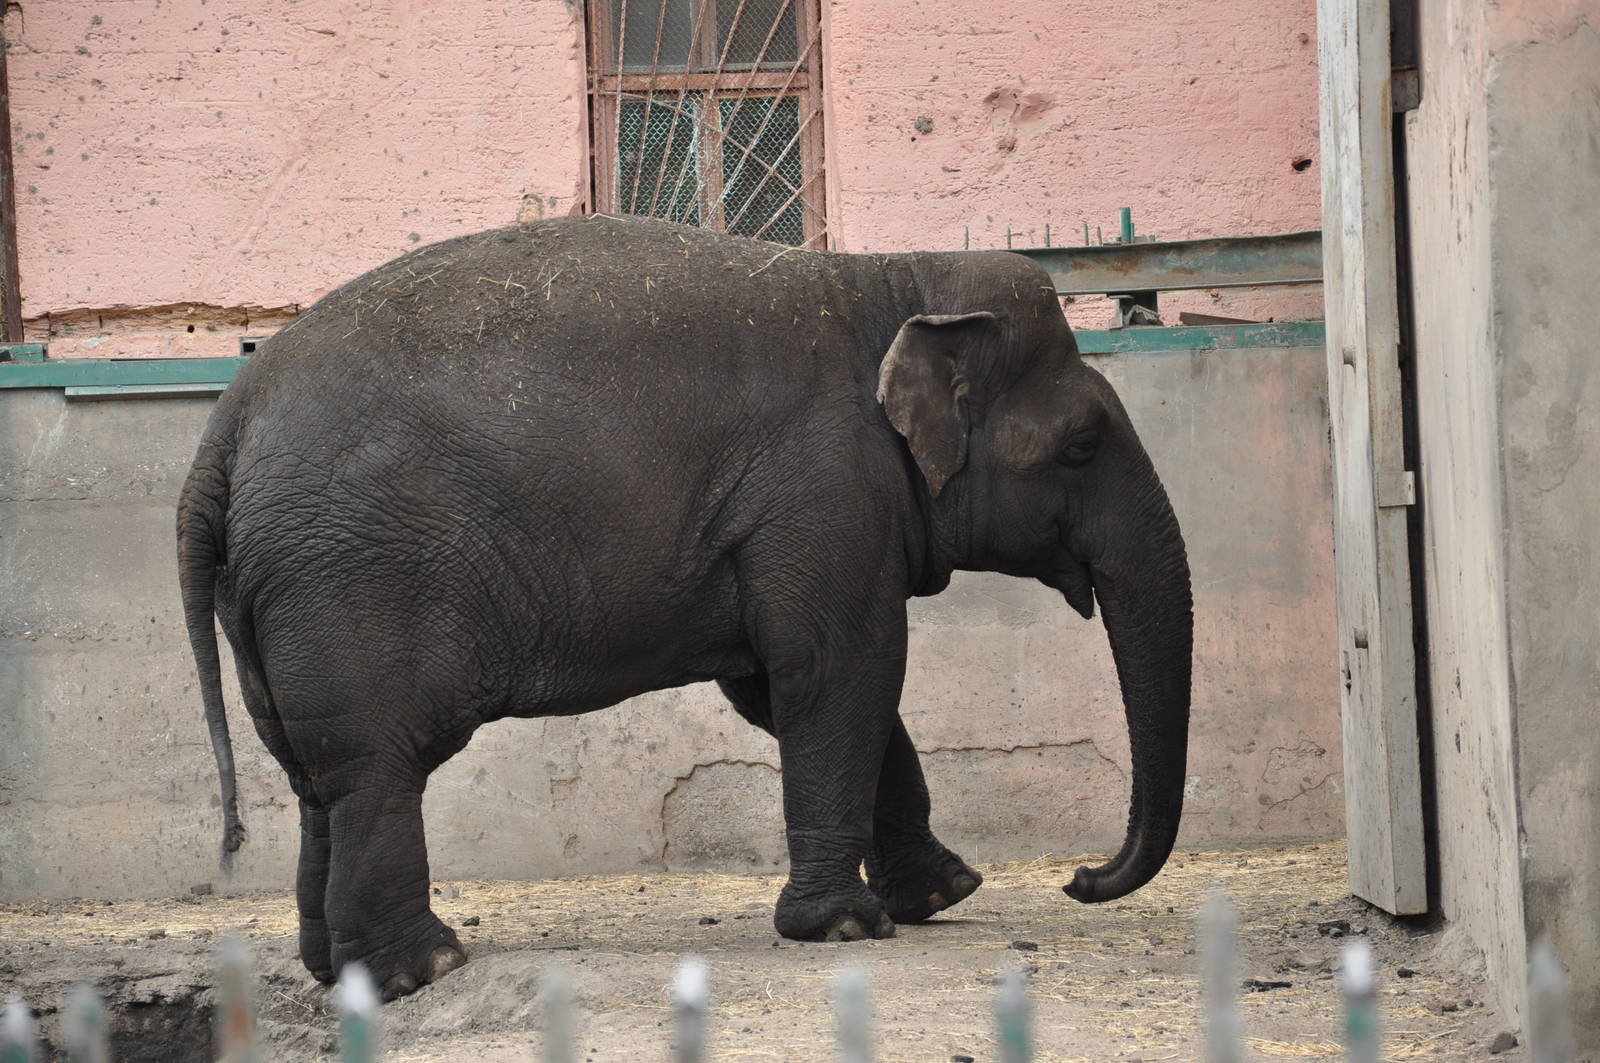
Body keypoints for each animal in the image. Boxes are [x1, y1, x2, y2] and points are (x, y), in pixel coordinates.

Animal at [177, 214, 1192, 1000]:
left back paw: (334, 971)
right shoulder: (824, 485)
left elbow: (780, 689)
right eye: (1081, 445)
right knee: (374, 767)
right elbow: (841, 667)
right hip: (347, 580)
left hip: (268, 598)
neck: (896, 279)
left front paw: (945, 896)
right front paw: (846, 929)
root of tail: (220, 434)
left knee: (315, 777)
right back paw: (423, 969)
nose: (1081, 878)